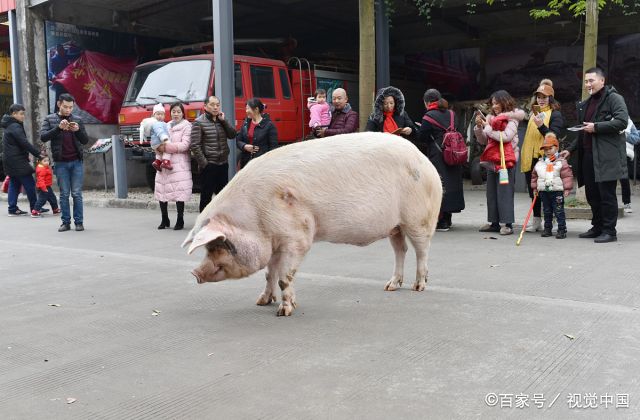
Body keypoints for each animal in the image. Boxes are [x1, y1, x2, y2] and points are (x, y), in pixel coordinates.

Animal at [182, 133, 442, 316]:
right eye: (209, 246)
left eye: (220, 243)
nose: (195, 272)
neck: (255, 218)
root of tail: (426, 161)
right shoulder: (275, 241)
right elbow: (269, 273)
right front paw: (261, 302)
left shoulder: (298, 237)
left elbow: (284, 276)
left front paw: (284, 312)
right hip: (395, 225)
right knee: (401, 249)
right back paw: (391, 286)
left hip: (419, 218)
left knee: (422, 250)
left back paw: (418, 287)